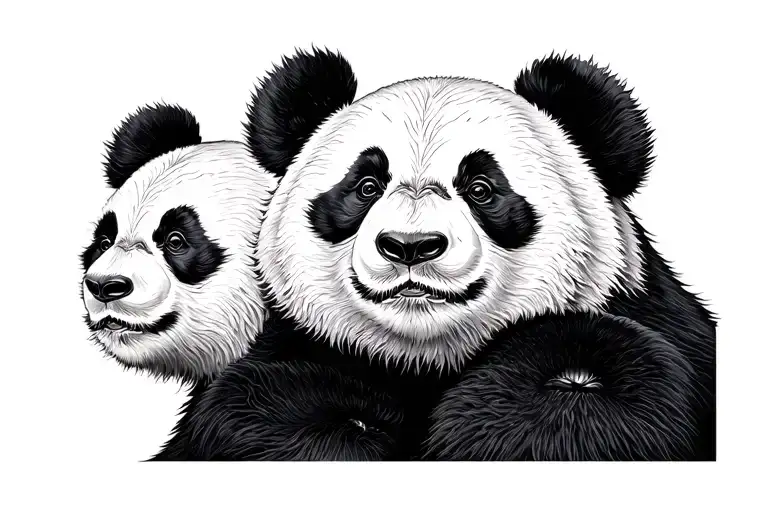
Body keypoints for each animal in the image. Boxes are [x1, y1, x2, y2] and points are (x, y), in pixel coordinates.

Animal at [157, 48, 716, 461]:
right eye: (365, 186)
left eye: (482, 188)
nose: (411, 246)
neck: (425, 359)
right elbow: (264, 411)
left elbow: (595, 389)